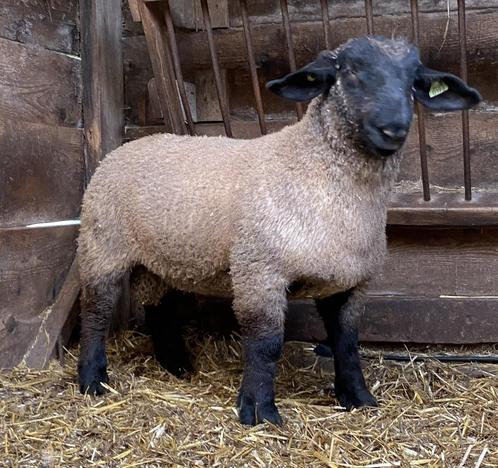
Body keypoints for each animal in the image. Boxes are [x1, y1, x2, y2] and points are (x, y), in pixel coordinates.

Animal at [79, 36, 482, 424]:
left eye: (414, 81)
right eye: (350, 71)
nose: (393, 129)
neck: (312, 167)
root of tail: (130, 144)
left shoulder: (349, 282)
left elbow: (347, 342)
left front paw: (357, 397)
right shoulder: (259, 271)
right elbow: (266, 343)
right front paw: (258, 410)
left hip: (165, 258)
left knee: (158, 308)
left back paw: (176, 364)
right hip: (102, 245)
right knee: (96, 312)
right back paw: (92, 379)